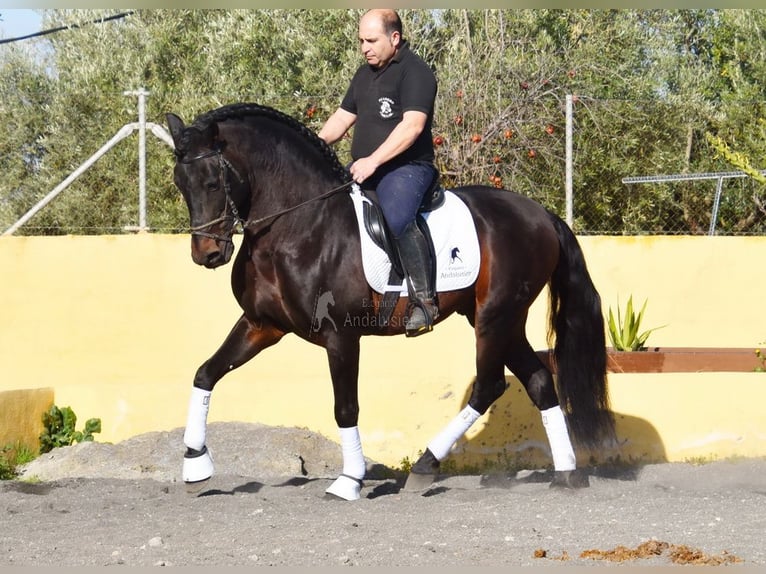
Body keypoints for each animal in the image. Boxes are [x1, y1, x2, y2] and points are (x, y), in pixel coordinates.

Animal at [168, 103, 616, 504]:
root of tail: (542, 214)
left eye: (212, 183)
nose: (207, 254)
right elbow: (205, 374)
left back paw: (425, 465)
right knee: (539, 381)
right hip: (496, 318)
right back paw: (566, 473)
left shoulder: (340, 336)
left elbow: (345, 408)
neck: (298, 226)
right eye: (180, 183)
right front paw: (195, 465)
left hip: (496, 316)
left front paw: (349, 481)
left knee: (489, 386)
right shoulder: (261, 324)